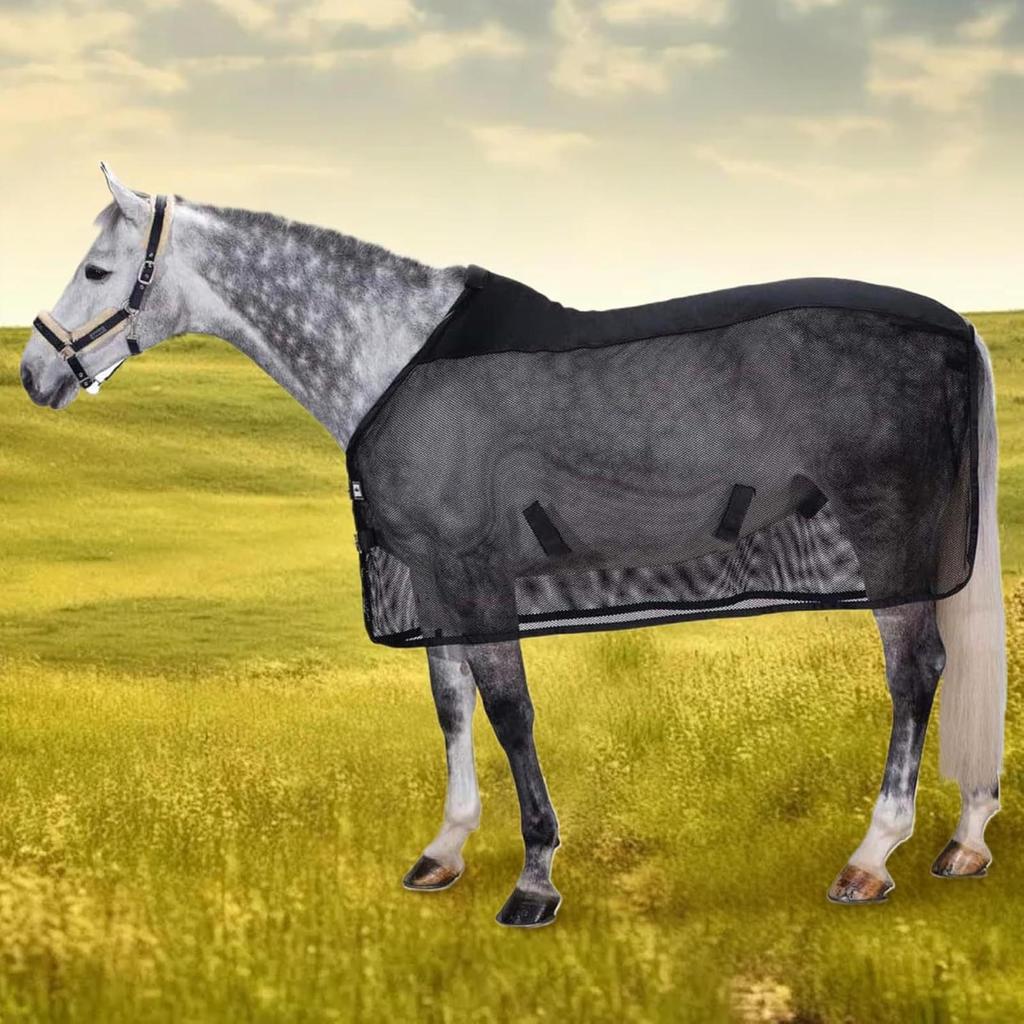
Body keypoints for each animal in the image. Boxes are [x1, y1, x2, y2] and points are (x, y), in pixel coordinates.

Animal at [19, 164, 1006, 929]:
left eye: (99, 267)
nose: (34, 373)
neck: (394, 358)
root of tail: (955, 327)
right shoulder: (432, 576)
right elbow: (451, 703)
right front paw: (445, 849)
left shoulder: (473, 567)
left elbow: (508, 710)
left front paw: (535, 880)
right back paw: (964, 841)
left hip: (888, 529)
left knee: (916, 670)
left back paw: (873, 856)